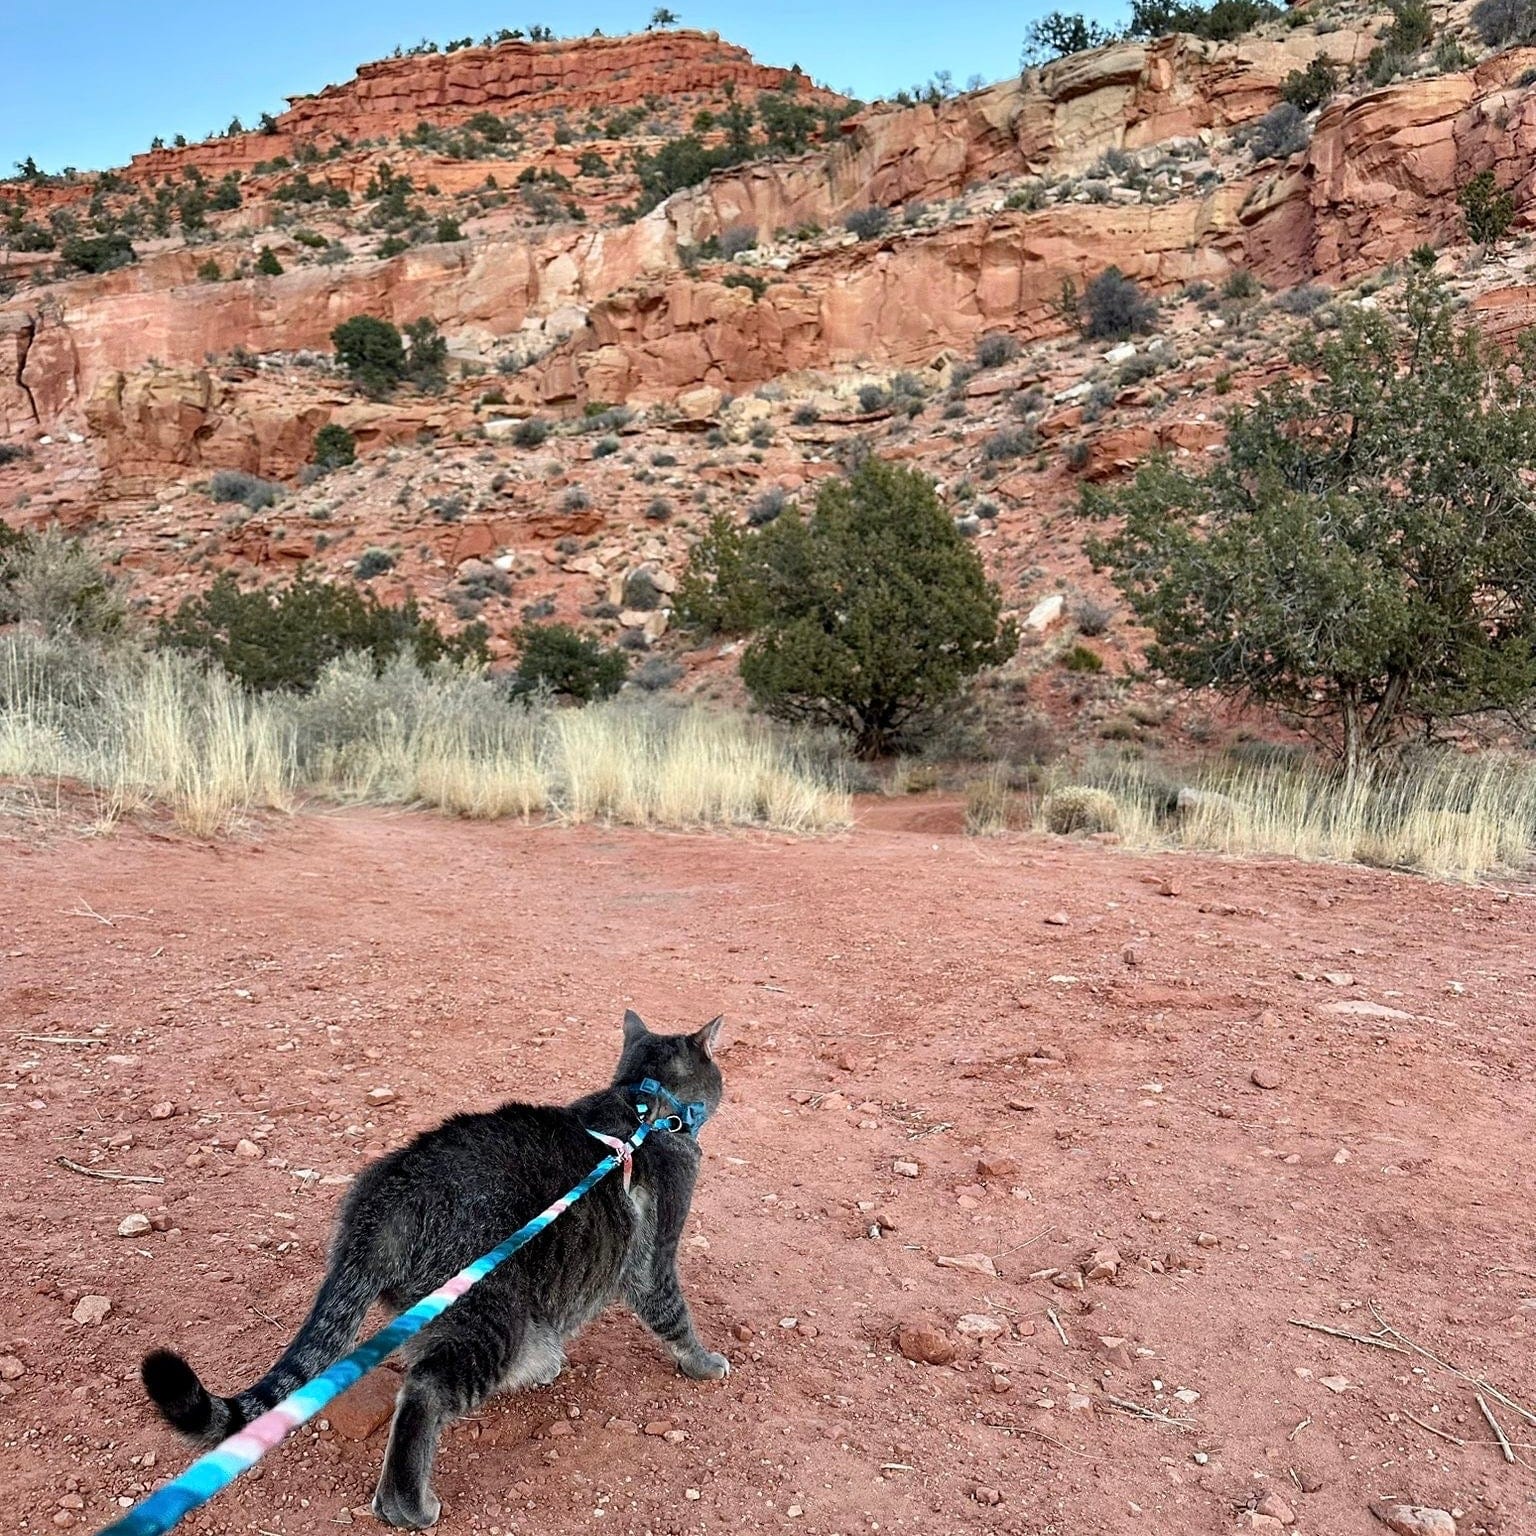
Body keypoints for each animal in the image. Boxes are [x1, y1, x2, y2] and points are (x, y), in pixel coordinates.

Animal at [141, 1013, 728, 1529]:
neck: (645, 1102)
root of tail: (387, 1196)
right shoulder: (653, 1262)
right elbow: (675, 1317)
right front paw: (703, 1362)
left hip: (437, 1305)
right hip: (486, 1313)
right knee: (423, 1392)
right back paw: (409, 1505)